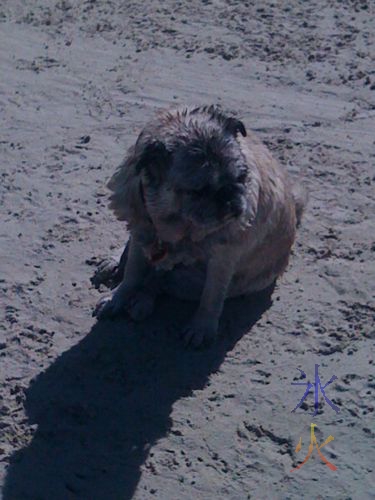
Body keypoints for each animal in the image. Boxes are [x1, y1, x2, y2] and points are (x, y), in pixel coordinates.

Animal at [92, 104, 306, 348]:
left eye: (242, 177)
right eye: (199, 191)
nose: (230, 199)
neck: (174, 222)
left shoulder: (222, 258)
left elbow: (211, 297)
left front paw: (202, 326)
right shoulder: (140, 231)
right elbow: (132, 273)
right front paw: (118, 297)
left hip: (189, 282)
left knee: (161, 281)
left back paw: (143, 299)